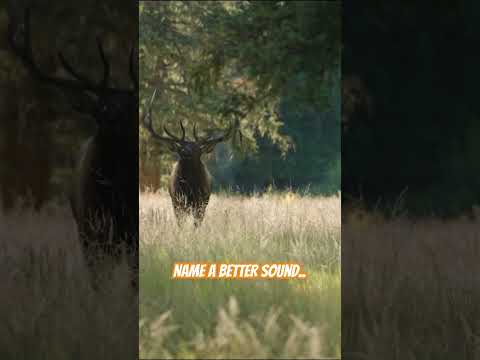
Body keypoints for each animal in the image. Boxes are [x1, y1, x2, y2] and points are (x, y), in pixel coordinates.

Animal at [8, 9, 139, 288]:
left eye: (132, 110)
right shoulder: (90, 231)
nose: (112, 122)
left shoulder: (131, 229)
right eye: (100, 108)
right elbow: (98, 282)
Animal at [142, 89, 237, 225]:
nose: (186, 152)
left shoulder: (201, 203)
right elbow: (180, 224)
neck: (189, 189)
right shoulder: (177, 201)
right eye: (180, 148)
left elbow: (197, 224)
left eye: (198, 150)